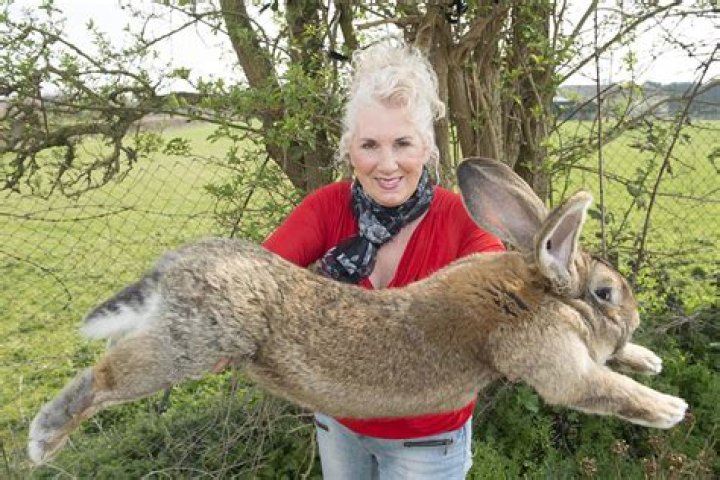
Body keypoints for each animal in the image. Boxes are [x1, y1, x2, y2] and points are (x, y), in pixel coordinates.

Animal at [28, 157, 688, 465]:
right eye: (605, 293)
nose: (633, 318)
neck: (535, 290)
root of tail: (175, 267)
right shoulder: (553, 361)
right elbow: (599, 388)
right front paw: (669, 407)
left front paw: (648, 358)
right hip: (189, 345)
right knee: (104, 378)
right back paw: (43, 441)